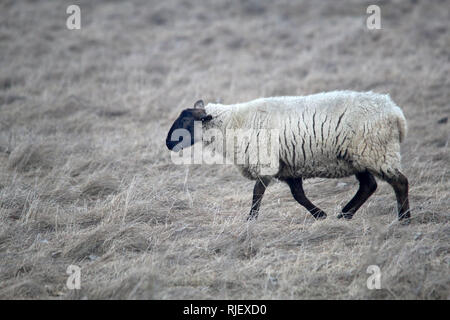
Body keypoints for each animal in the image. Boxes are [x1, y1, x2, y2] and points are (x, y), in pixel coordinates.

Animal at [166, 90, 412, 222]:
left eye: (186, 121)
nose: (168, 143)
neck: (232, 123)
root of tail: (396, 113)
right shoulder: (288, 167)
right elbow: (299, 196)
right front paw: (320, 215)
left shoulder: (265, 161)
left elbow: (257, 195)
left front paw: (250, 221)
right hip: (358, 157)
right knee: (368, 185)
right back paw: (344, 215)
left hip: (375, 152)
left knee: (399, 182)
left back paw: (404, 219)